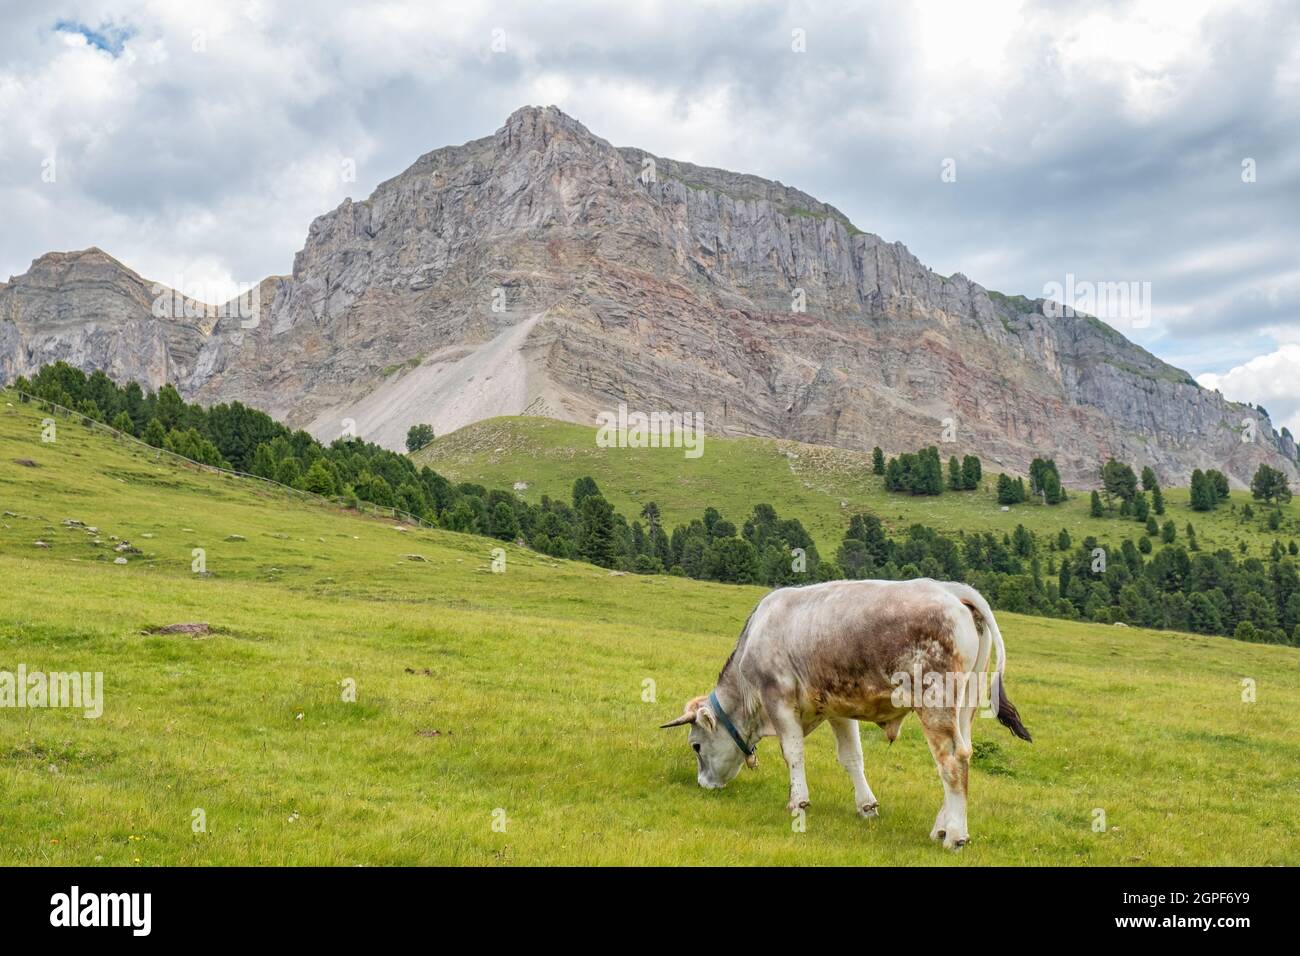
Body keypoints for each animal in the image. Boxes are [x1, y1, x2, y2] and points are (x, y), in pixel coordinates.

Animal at [665, 580, 1029, 848]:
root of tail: (955, 590)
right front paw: (866, 805)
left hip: (936, 703)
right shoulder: (837, 707)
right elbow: (852, 757)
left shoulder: (778, 698)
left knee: (951, 762)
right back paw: (942, 827)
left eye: (696, 746)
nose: (704, 784)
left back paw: (955, 835)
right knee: (964, 755)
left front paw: (798, 802)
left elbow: (793, 753)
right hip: (965, 705)